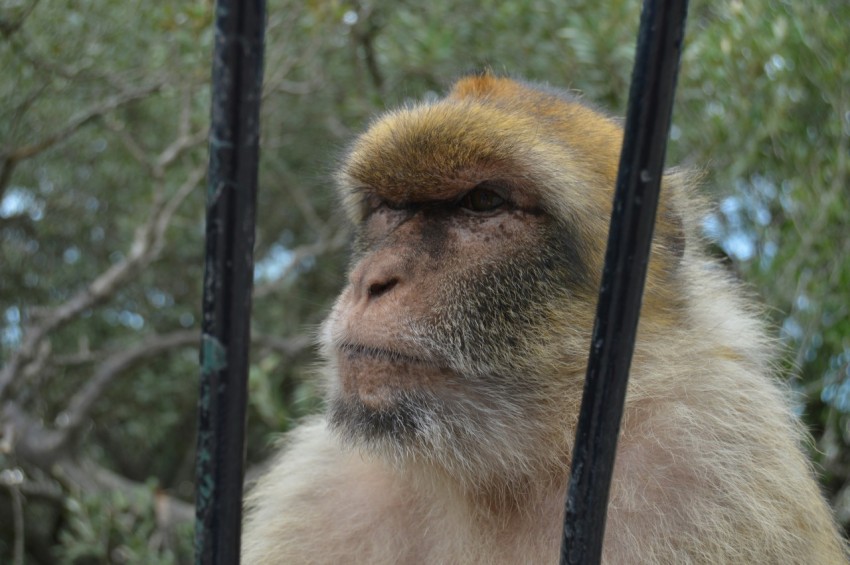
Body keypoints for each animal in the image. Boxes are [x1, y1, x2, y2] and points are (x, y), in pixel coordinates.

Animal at [240, 76, 848, 564]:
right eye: (390, 207)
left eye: (483, 202)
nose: (372, 279)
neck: (503, 473)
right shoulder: (320, 487)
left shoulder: (721, 469)